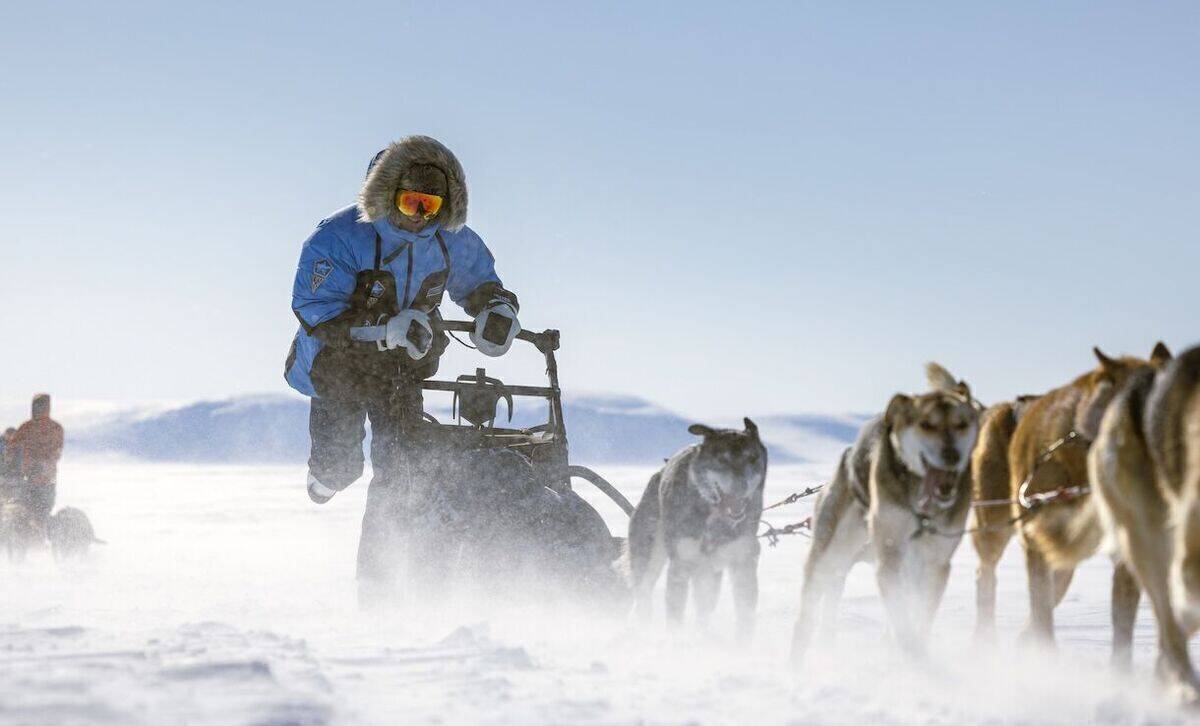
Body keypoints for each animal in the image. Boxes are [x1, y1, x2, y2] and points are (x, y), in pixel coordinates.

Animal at [628, 420, 768, 638]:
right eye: (722, 459)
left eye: (752, 458)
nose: (741, 486)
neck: (716, 517)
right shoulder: (681, 564)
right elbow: (675, 617)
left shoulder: (744, 560)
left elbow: (745, 615)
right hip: (649, 554)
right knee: (643, 593)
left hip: (710, 574)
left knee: (704, 609)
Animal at [792, 362, 979, 662]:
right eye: (927, 424)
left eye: (962, 424)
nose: (952, 455)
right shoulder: (890, 558)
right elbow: (901, 623)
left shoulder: (935, 564)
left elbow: (918, 619)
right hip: (827, 556)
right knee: (807, 614)